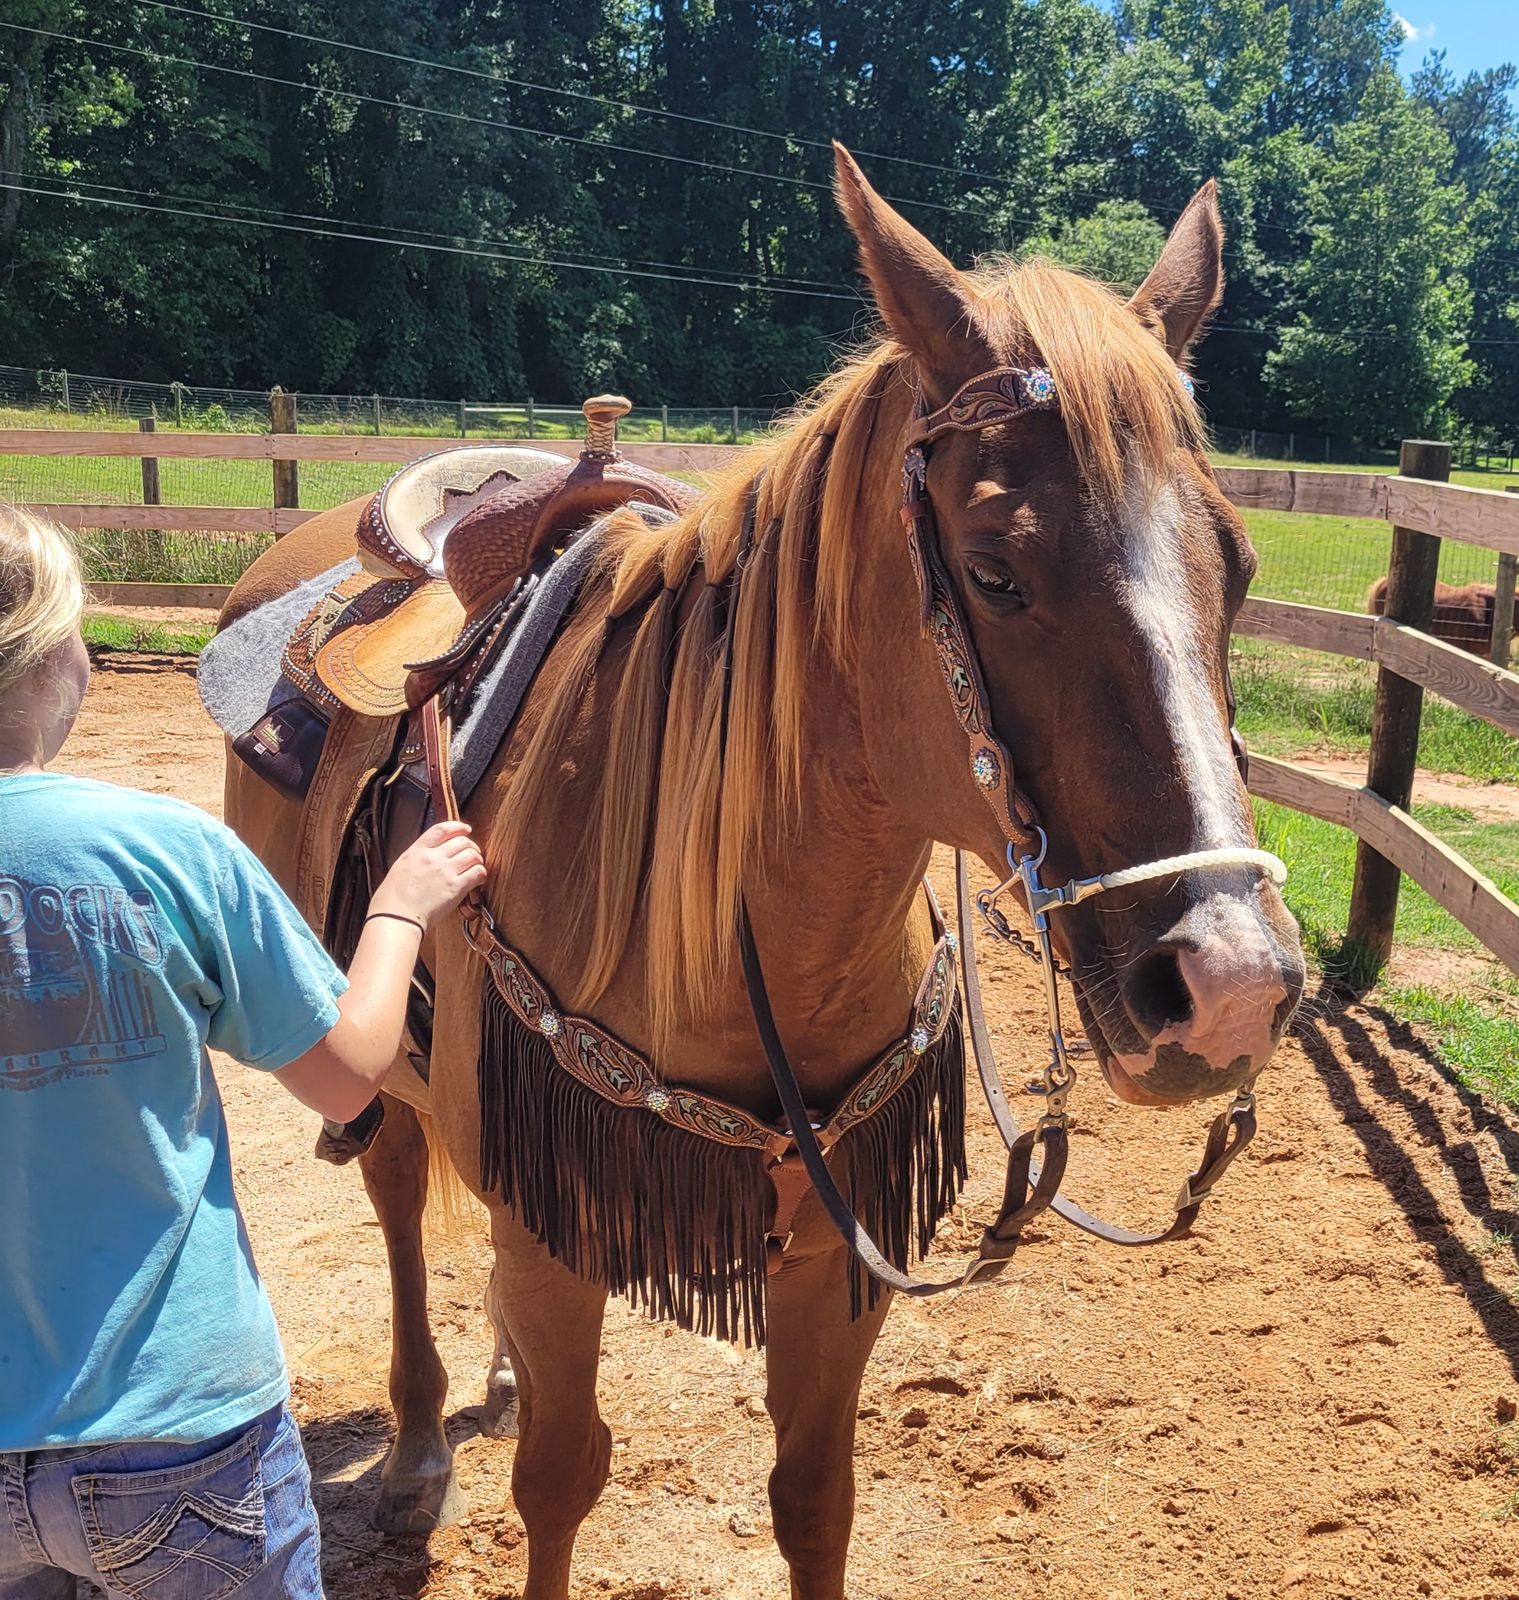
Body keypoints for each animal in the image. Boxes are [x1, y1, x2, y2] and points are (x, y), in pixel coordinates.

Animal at [219, 145, 1304, 1599]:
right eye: (993, 572)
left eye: (1234, 566)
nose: (1229, 984)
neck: (744, 930)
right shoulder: (561, 1243)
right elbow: (558, 1478)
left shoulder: (830, 1249)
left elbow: (813, 1496)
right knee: (396, 1192)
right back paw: (414, 1452)